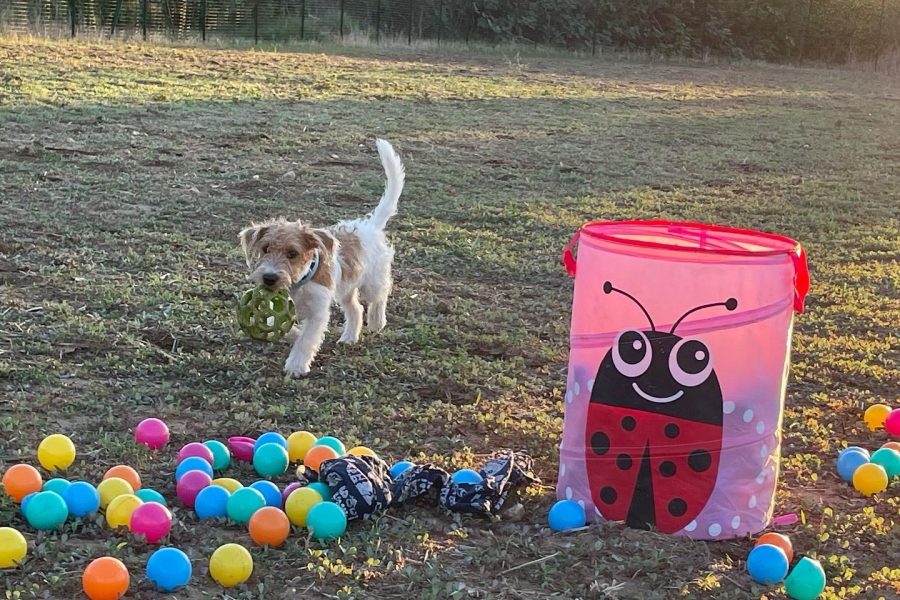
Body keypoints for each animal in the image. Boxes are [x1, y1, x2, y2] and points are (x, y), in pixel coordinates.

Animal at [241, 138, 406, 378]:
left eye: (292, 254)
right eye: (265, 249)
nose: (269, 278)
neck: (298, 284)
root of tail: (370, 225)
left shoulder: (318, 312)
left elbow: (306, 340)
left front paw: (296, 366)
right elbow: (283, 326)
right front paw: (293, 334)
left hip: (371, 282)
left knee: (381, 294)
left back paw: (377, 321)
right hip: (346, 288)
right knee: (356, 309)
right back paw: (349, 337)